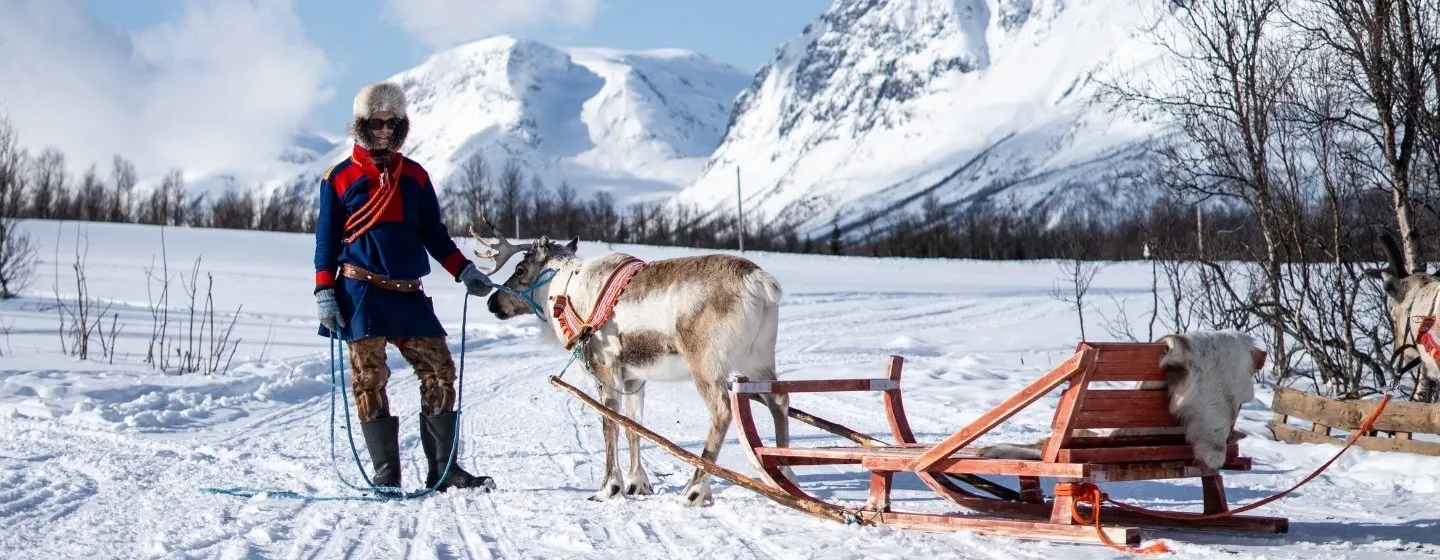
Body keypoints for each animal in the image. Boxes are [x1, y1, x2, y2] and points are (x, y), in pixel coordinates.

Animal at [468, 219, 793, 507]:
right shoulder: (634, 377)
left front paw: (609, 487)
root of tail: (759, 283)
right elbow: (633, 425)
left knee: (722, 410)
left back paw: (696, 489)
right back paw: (784, 476)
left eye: (520, 269)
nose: (492, 302)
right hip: (759, 358)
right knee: (779, 400)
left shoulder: (604, 368)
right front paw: (638, 483)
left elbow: (609, 424)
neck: (563, 293)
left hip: (706, 363)